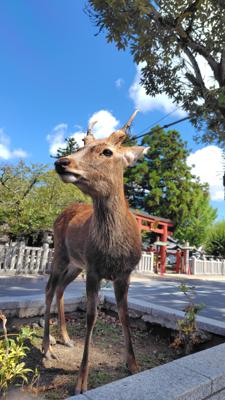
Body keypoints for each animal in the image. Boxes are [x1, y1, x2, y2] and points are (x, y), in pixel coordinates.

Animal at [42, 111, 149, 396]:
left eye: (107, 151)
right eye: (82, 144)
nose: (62, 162)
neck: (113, 251)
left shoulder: (124, 273)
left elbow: (124, 315)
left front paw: (133, 365)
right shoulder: (94, 270)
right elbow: (91, 317)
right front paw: (81, 382)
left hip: (76, 264)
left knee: (60, 289)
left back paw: (66, 338)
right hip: (60, 253)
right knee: (49, 289)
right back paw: (47, 347)